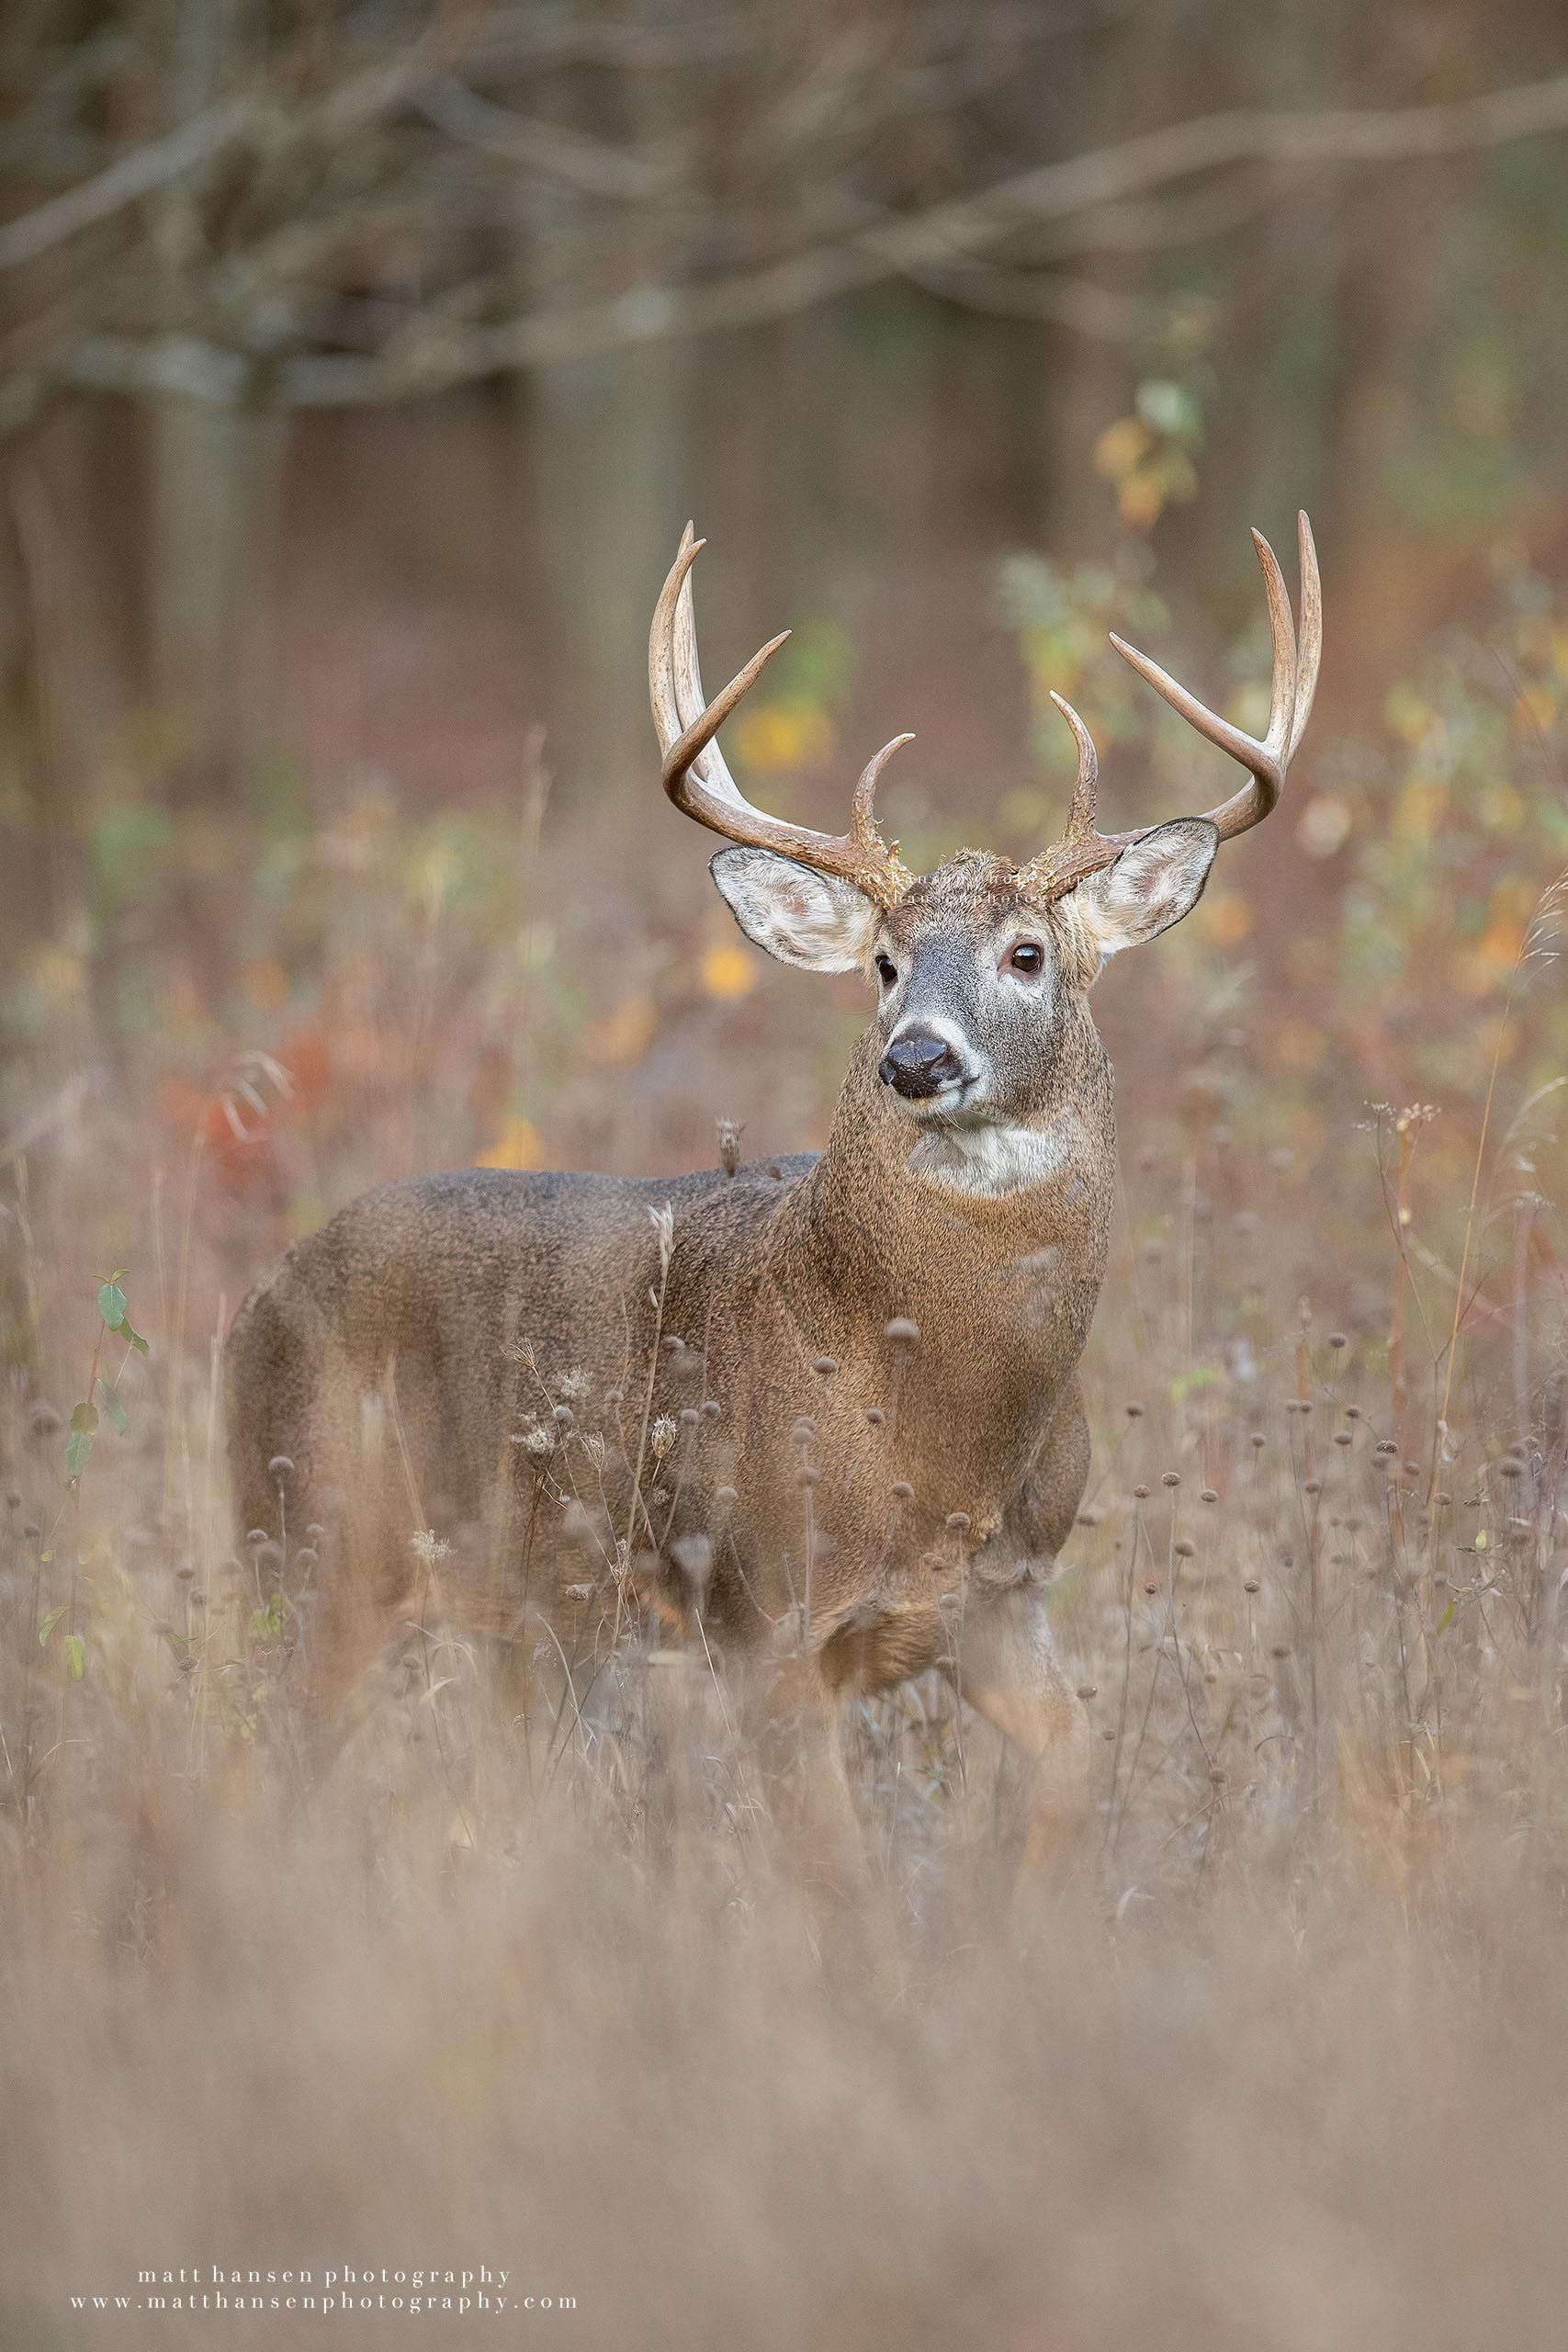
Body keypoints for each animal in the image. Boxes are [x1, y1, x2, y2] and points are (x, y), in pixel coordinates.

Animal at [225, 513, 1319, 1874]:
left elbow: (1066, 1785)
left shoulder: (1003, 1601)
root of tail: (256, 1299)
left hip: (507, 1616)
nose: (916, 1057)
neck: (929, 1440)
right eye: (884, 964)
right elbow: (837, 1884)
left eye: (1026, 955)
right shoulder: (761, 1613)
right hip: (309, 1543)